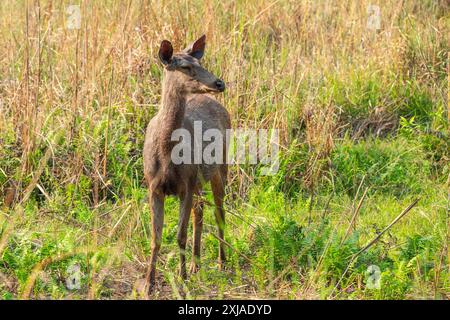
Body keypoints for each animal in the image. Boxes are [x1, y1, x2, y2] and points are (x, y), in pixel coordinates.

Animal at [143, 35, 230, 292]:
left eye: (199, 62)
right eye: (184, 66)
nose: (219, 83)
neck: (166, 153)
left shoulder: (185, 186)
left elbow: (180, 235)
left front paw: (181, 279)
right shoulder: (153, 187)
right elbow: (156, 238)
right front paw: (148, 283)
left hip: (220, 168)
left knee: (219, 212)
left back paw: (221, 262)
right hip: (199, 179)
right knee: (199, 212)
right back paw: (196, 264)